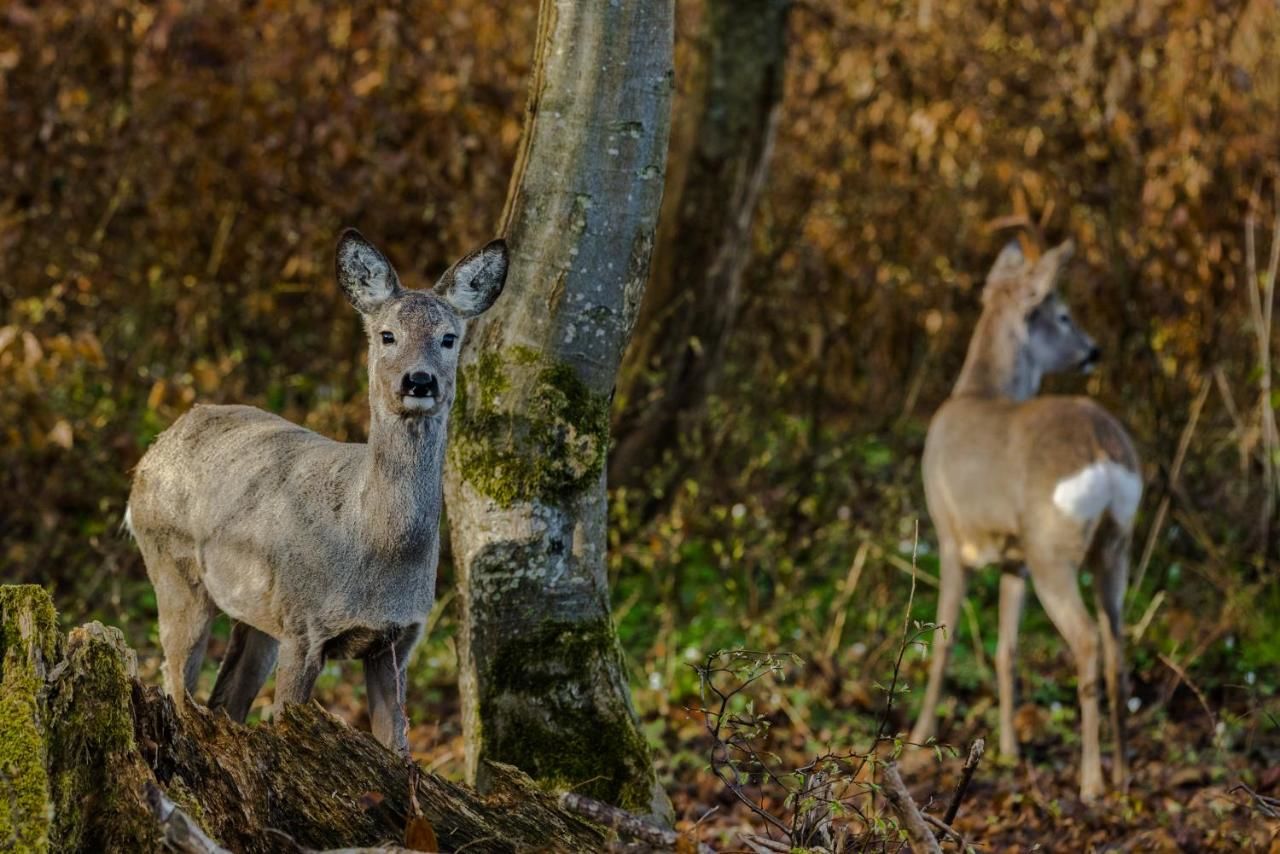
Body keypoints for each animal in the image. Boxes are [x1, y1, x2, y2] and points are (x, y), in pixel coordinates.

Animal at [124, 229, 504, 752]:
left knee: (225, 699)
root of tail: (155, 450)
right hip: (175, 572)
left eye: (449, 338)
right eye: (387, 335)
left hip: (258, 613)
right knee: (178, 687)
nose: (419, 380)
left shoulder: (397, 641)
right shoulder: (305, 627)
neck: (371, 542)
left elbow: (399, 749)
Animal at [911, 239, 1141, 804]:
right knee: (1116, 647)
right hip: (1114, 546)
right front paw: (1010, 750)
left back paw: (1091, 781)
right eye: (1063, 315)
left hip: (1053, 549)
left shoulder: (949, 533)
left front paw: (915, 743)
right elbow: (1007, 650)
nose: (1094, 350)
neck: (977, 391)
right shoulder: (1012, 558)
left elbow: (944, 644)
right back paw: (1123, 771)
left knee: (1086, 641)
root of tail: (1104, 451)